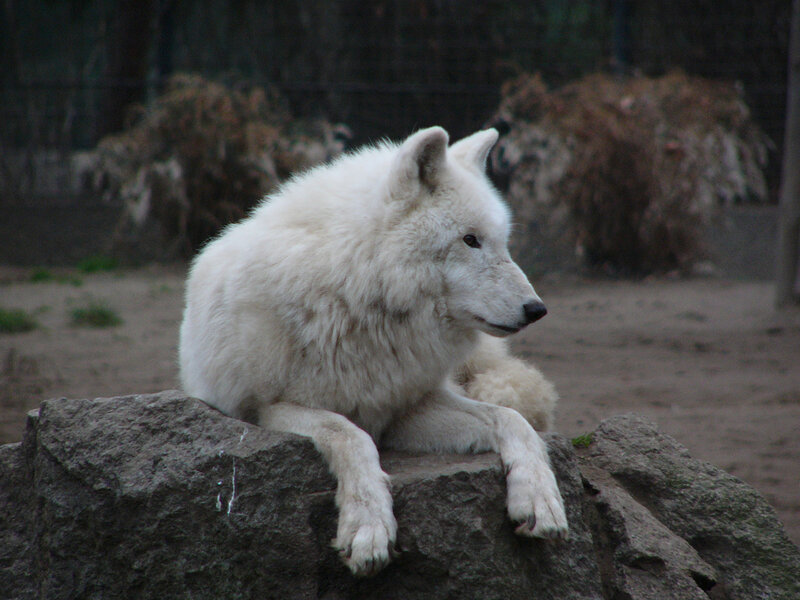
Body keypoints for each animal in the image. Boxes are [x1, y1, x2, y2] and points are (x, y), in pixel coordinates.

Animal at [179, 126, 568, 576]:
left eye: (502, 243)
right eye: (470, 240)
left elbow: (513, 420)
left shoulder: (403, 409)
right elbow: (350, 435)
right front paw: (368, 528)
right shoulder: (264, 410)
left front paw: (539, 498)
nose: (537, 309)